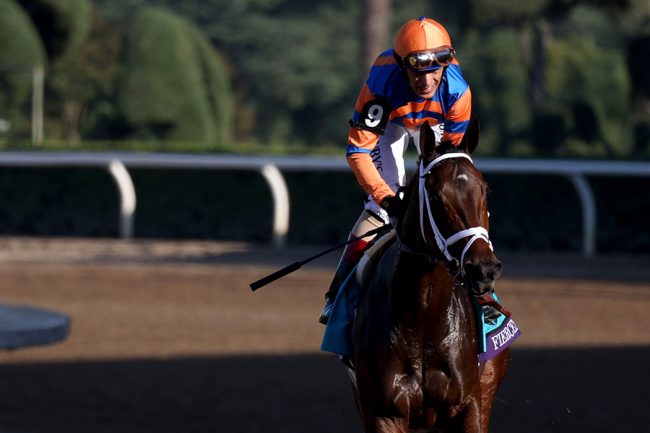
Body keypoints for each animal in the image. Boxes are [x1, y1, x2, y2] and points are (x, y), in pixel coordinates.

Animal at [350, 119, 510, 433]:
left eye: (485, 190)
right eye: (436, 197)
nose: (483, 268)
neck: (424, 314)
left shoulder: (470, 406)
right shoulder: (383, 413)